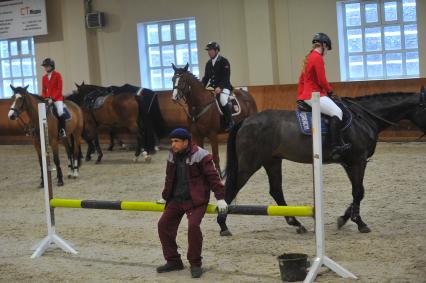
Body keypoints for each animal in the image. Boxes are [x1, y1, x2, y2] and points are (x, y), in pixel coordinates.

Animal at [218, 87, 426, 236]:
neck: (364, 118)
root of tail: (245, 121)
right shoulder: (358, 161)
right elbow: (359, 192)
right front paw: (360, 223)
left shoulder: (350, 163)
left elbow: (357, 192)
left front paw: (344, 219)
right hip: (250, 164)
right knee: (233, 187)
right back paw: (222, 224)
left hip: (272, 161)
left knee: (276, 190)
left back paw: (296, 223)